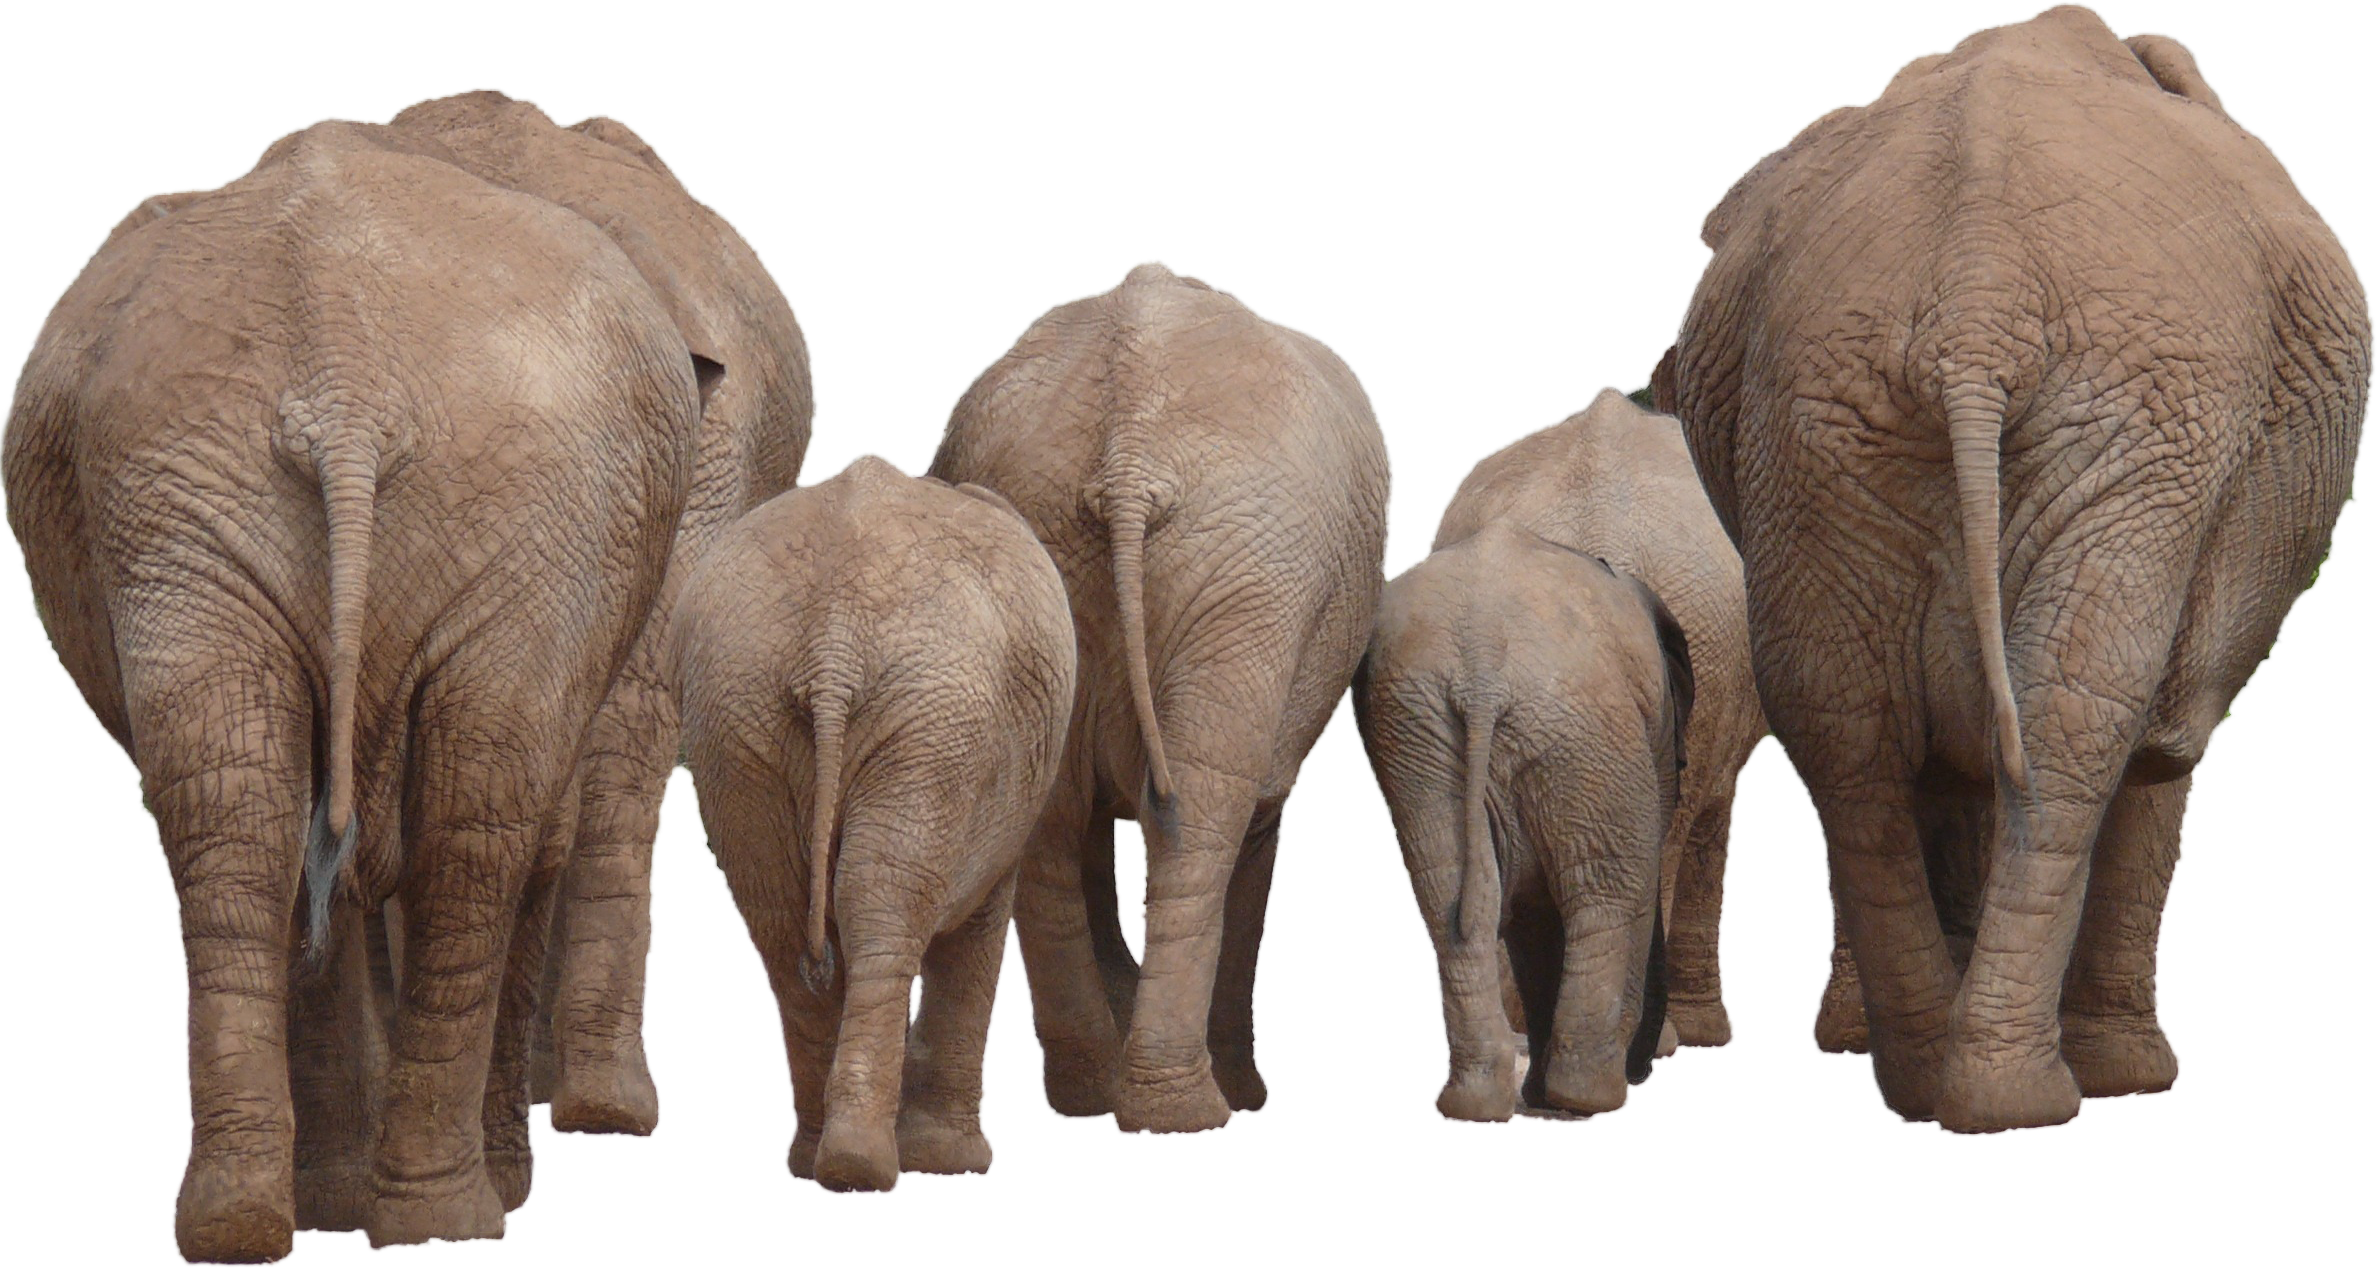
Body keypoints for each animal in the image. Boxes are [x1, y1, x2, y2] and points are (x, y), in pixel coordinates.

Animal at [1, 115, 708, 1258]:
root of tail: (344, 378)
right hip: (470, 491)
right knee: (468, 818)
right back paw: (440, 1218)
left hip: (192, 494)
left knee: (241, 802)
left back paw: (254, 1226)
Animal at [670, 452, 1076, 1194]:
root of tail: (832, 640)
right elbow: (977, 923)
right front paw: (954, 1164)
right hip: (928, 719)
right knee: (880, 908)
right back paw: (864, 1165)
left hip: (737, 714)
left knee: (780, 919)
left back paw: (823, 1163)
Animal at [923, 258, 1393, 1136]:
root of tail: (1127, 448)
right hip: (1250, 579)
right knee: (1202, 814)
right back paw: (1192, 1112)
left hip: (1056, 544)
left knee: (1054, 817)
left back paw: (1092, 1097)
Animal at [1352, 522, 1693, 1124]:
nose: (1647, 1067)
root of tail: (1481, 670)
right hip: (1580, 726)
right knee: (1607, 891)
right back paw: (1591, 1098)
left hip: (1417, 732)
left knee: (1452, 899)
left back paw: (1479, 1104)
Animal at [1653, 3, 2371, 1135]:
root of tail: (1973, 296)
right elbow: (2157, 744)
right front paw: (2130, 1078)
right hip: (2128, 417)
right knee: (2073, 714)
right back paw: (2029, 1096)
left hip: (1819, 424)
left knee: (1846, 719)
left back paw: (1932, 1087)